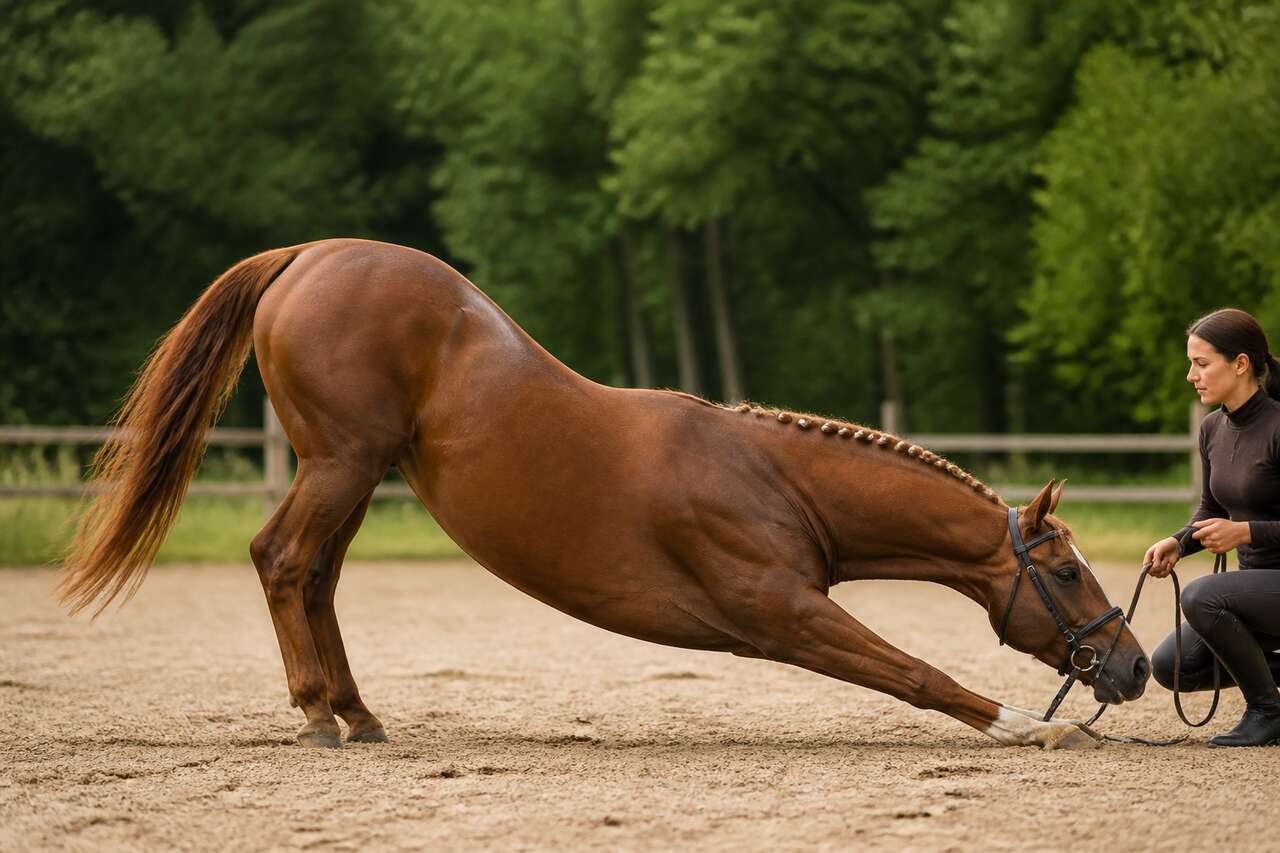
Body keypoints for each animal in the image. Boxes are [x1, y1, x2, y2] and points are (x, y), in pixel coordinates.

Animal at [62, 238, 1150, 750]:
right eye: (1063, 569)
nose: (1135, 665)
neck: (768, 475)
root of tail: (311, 254)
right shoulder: (783, 612)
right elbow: (914, 670)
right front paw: (1029, 722)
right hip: (339, 464)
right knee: (284, 562)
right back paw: (321, 715)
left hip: (354, 475)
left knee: (316, 579)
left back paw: (356, 712)